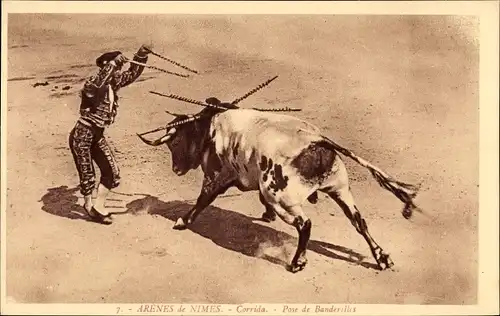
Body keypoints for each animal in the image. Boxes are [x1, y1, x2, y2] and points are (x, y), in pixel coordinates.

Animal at [138, 95, 422, 272]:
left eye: (175, 142)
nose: (176, 169)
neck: (210, 127)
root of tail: (317, 140)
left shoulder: (216, 177)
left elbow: (202, 200)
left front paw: (182, 221)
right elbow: (257, 199)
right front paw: (266, 216)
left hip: (282, 196)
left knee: (305, 224)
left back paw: (297, 262)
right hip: (340, 189)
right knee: (359, 222)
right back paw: (382, 258)